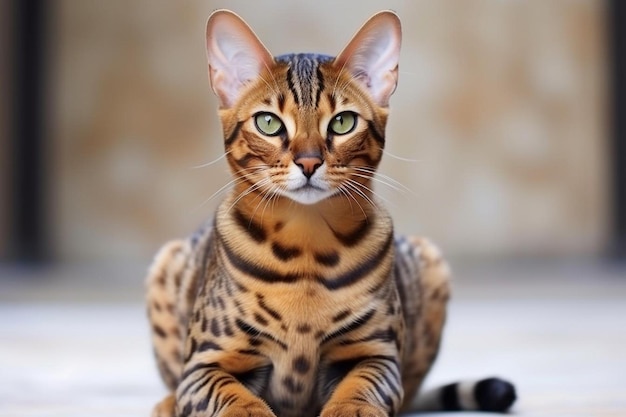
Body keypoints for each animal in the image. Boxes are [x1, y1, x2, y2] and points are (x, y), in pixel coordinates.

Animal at [145, 9, 512, 416]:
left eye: (342, 122)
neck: (306, 246)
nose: (308, 162)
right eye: (268, 123)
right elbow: (234, 399)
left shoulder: (378, 355)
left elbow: (360, 389)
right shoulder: (204, 362)